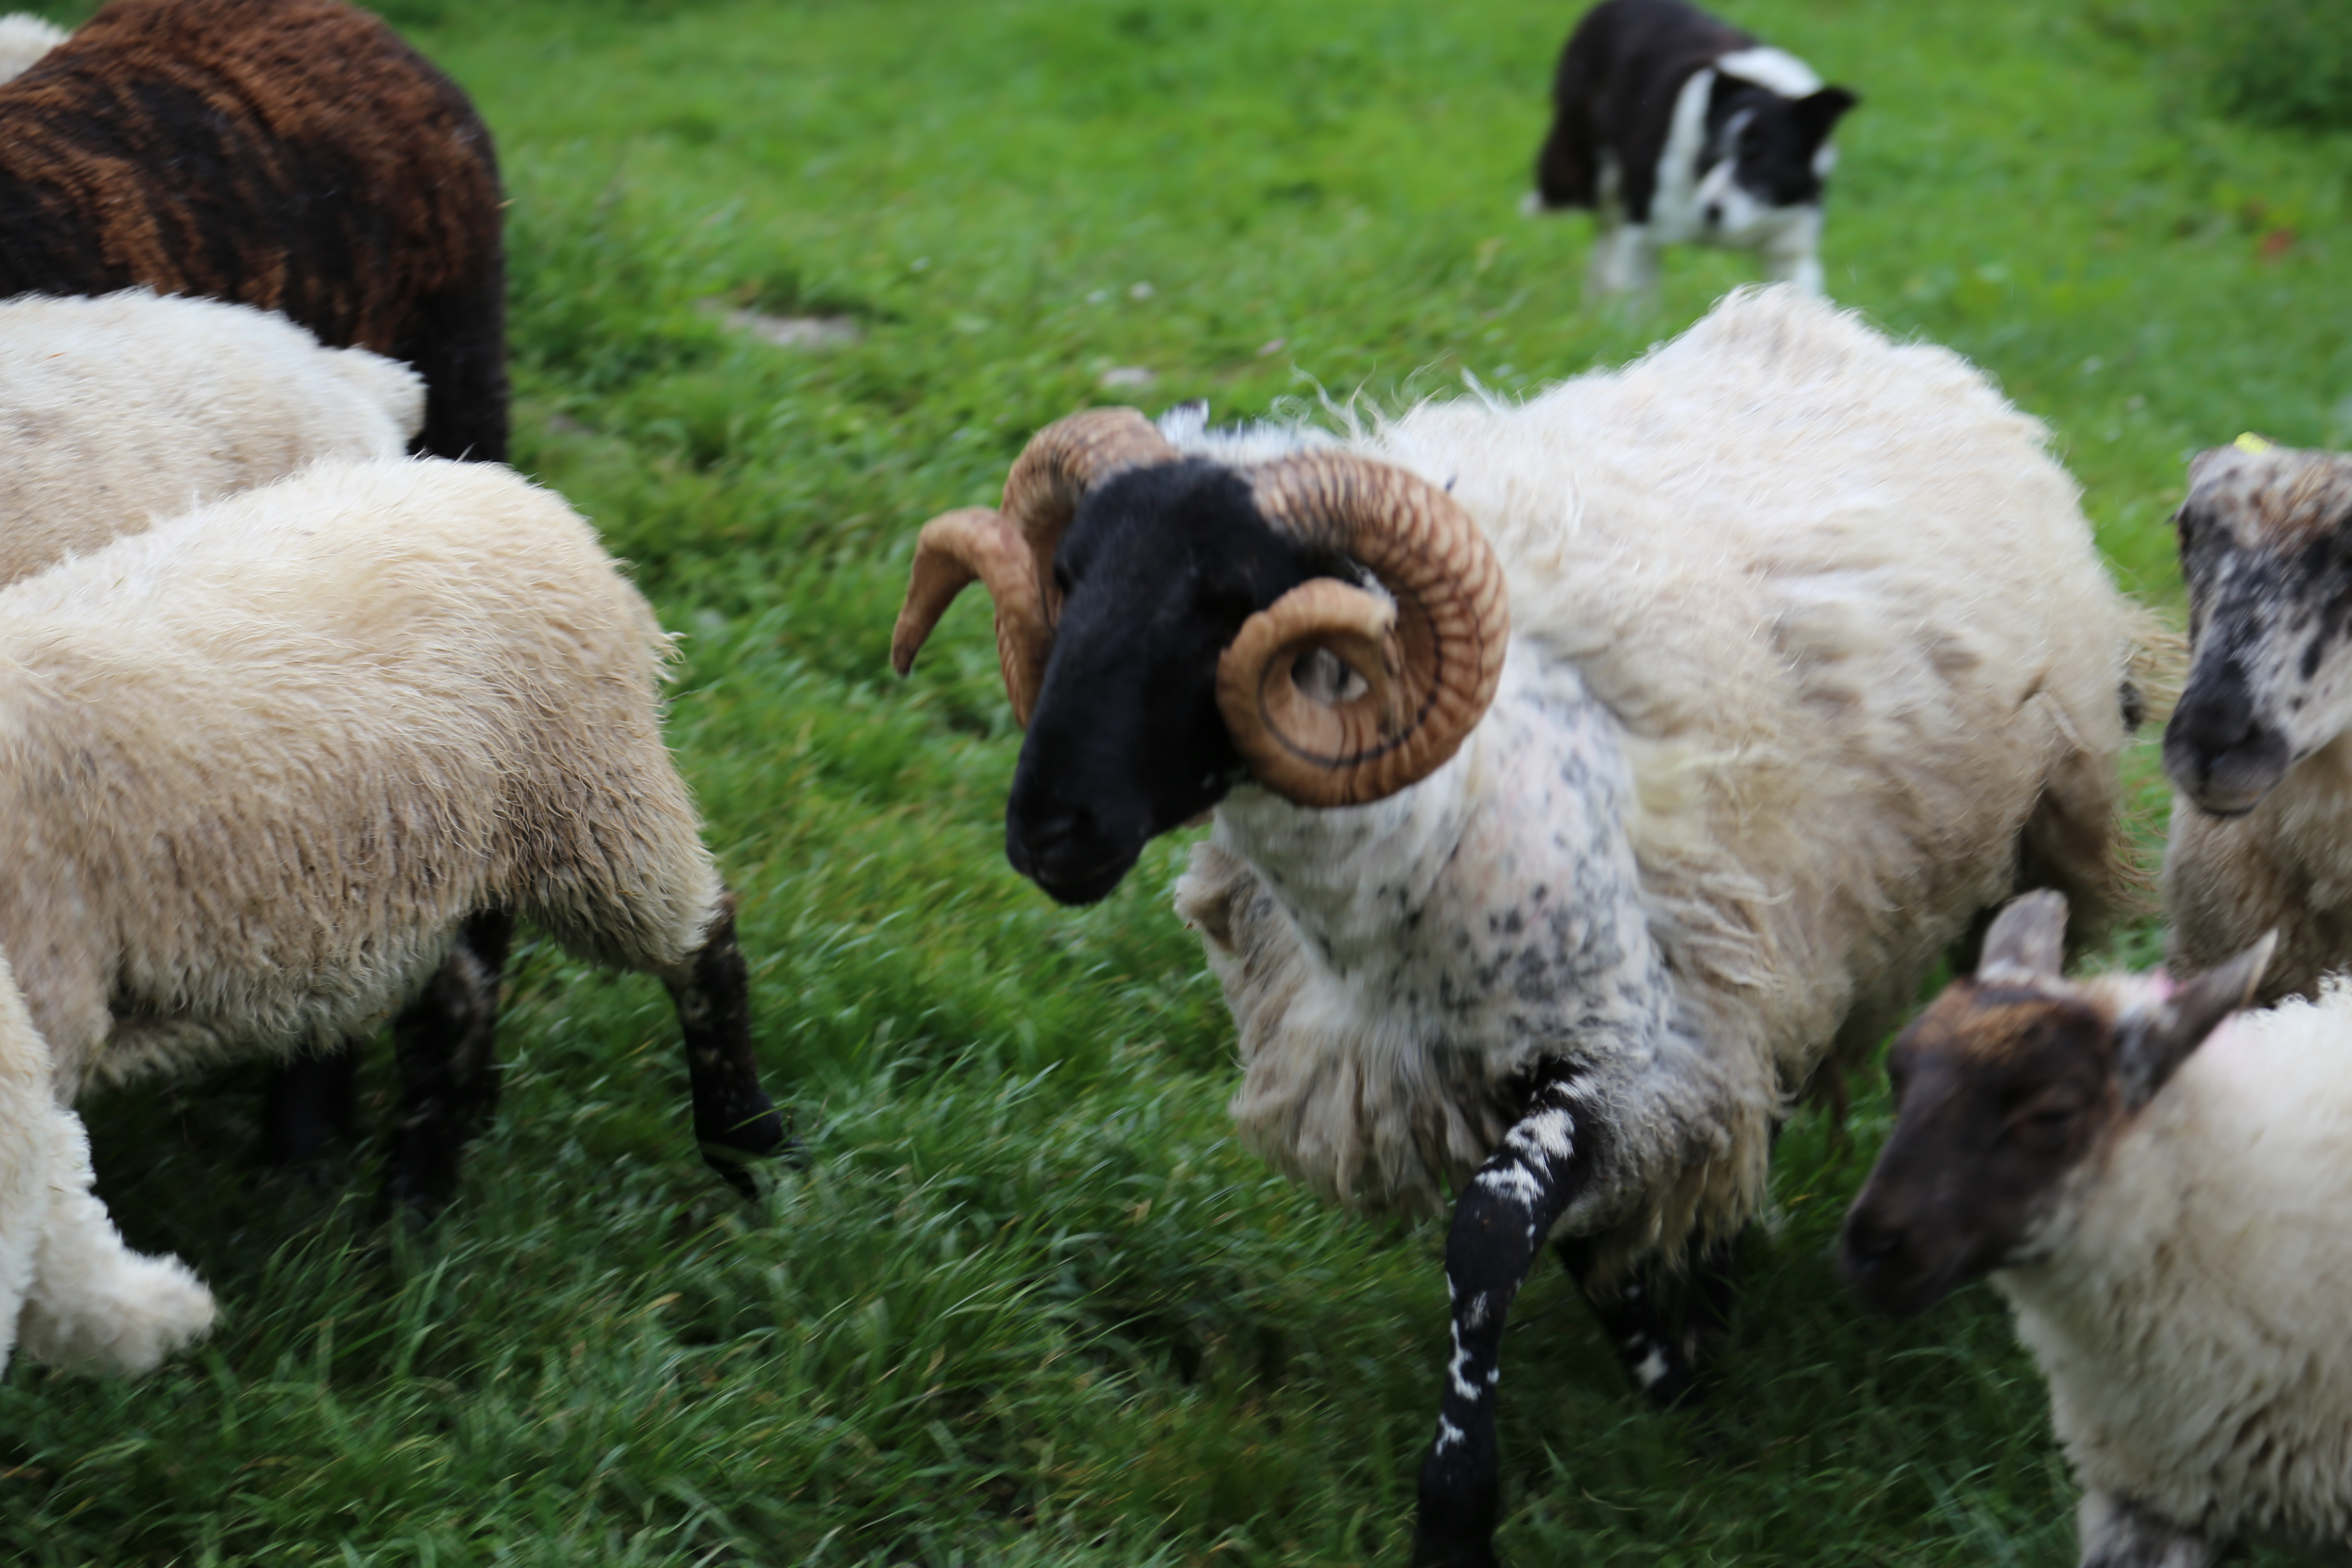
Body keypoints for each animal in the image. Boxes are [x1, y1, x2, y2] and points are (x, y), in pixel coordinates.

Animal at [0, 453, 790, 1373]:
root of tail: (502, 486)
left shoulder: (40, 1021)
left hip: (592, 804)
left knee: (703, 944)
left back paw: (747, 1138)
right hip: (413, 883)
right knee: (459, 1005)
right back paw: (412, 1215)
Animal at [889, 288, 2154, 1561]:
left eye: (1231, 600)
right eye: (1067, 571)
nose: (1048, 828)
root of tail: (1855, 332)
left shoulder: (1632, 1051)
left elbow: (1491, 1236)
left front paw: (1462, 1506)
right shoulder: (1595, 1058)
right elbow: (1597, 1249)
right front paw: (1678, 1351)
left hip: (2019, 849)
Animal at [1524, 0, 1872, 297]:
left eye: (1760, 158)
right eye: (1711, 153)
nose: (1711, 212)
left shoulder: (1790, 252)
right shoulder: (1643, 233)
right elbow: (1640, 312)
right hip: (1597, 169)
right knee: (1605, 225)